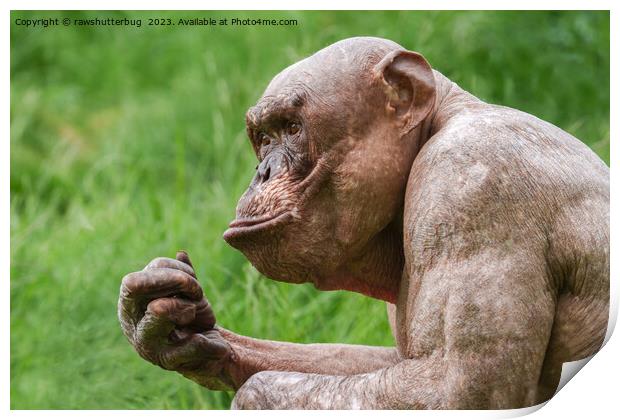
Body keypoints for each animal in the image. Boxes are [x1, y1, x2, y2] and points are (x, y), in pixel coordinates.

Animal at [117, 37, 612, 408]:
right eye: (263, 137)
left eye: (292, 127)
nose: (264, 172)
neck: (433, 128)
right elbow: (390, 366)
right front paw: (178, 324)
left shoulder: (472, 187)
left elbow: (460, 386)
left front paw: (254, 395)